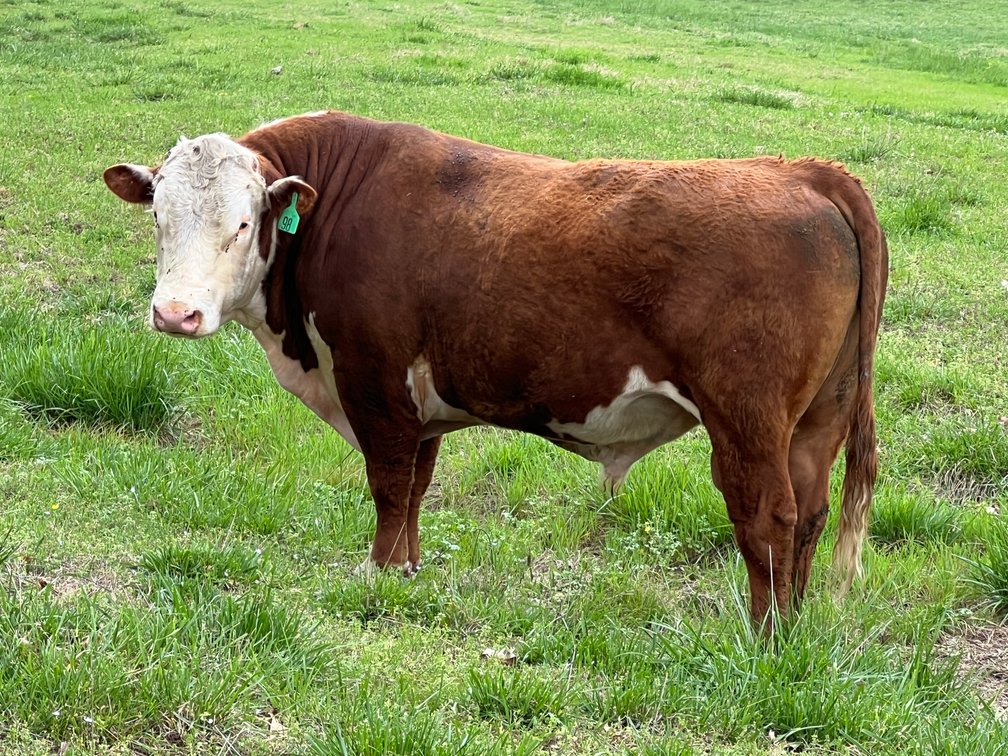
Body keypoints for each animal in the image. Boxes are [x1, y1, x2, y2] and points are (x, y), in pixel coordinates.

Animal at [103, 110, 888, 625]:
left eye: (242, 224)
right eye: (158, 218)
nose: (175, 314)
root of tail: (805, 172)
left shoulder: (374, 382)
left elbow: (387, 487)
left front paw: (379, 577)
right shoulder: (419, 403)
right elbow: (416, 489)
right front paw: (409, 571)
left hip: (746, 420)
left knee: (768, 517)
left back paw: (763, 634)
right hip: (818, 418)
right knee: (811, 512)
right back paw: (795, 622)